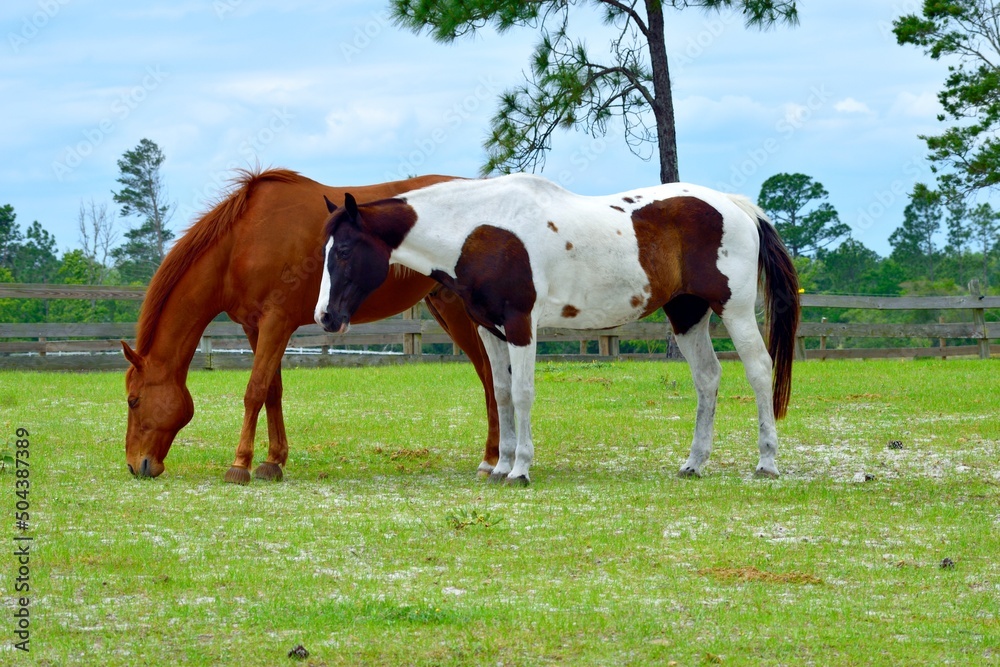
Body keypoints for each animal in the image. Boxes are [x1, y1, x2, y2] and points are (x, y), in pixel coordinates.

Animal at [121, 168, 500, 484]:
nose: (135, 465)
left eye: (133, 401)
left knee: (491, 375)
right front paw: (272, 462)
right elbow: (272, 391)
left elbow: (254, 391)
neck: (243, 243)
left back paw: (493, 460)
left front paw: (239, 465)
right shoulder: (256, 328)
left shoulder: (276, 322)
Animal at [314, 173, 800, 485]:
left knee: (759, 371)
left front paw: (520, 469)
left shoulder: (521, 325)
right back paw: (693, 464)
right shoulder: (490, 330)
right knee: (707, 378)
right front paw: (500, 466)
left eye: (343, 250)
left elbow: (523, 393)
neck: (479, 230)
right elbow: (501, 393)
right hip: (686, 315)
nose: (325, 317)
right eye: (326, 250)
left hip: (734, 310)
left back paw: (766, 463)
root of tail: (735, 206)